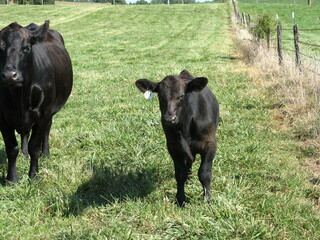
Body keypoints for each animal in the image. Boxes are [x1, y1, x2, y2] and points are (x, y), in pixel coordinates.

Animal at [0, 21, 73, 184]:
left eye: (26, 48)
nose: (9, 75)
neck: (20, 96)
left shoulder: (43, 113)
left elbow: (35, 147)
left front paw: (33, 175)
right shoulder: (2, 118)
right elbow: (11, 148)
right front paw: (11, 179)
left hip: (49, 112)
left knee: (46, 130)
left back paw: (45, 154)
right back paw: (24, 154)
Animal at [135, 70, 220, 206]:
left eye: (181, 96)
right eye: (160, 96)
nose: (169, 118)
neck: (185, 126)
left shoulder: (209, 145)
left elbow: (204, 174)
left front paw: (207, 199)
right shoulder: (174, 147)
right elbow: (180, 174)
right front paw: (180, 199)